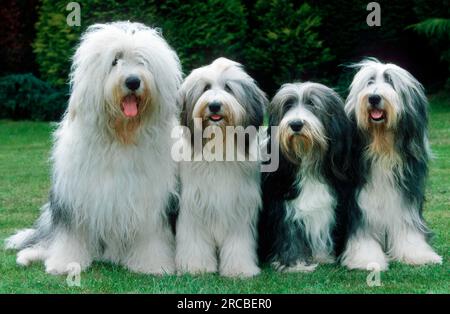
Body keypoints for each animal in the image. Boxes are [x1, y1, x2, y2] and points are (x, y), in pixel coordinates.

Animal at [4, 21, 181, 274]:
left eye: (142, 61)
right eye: (115, 60)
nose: (133, 81)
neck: (121, 135)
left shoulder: (151, 200)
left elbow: (151, 236)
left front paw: (152, 265)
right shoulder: (75, 195)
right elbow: (70, 234)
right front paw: (64, 263)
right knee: (46, 239)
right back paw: (28, 255)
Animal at [175, 58, 268, 278]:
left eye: (228, 88)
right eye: (206, 88)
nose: (215, 105)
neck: (218, 146)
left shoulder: (239, 207)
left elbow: (238, 243)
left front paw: (240, 269)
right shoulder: (194, 205)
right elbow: (194, 240)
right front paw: (196, 266)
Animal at [258, 83, 354, 272]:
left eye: (312, 103)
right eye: (288, 105)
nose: (296, 124)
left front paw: (323, 256)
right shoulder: (284, 206)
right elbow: (290, 234)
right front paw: (296, 264)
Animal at [342, 58, 442, 270]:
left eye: (390, 81)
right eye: (370, 82)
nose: (373, 98)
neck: (383, 149)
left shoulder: (406, 198)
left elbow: (408, 228)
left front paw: (418, 255)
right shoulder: (359, 203)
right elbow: (363, 232)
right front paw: (367, 259)